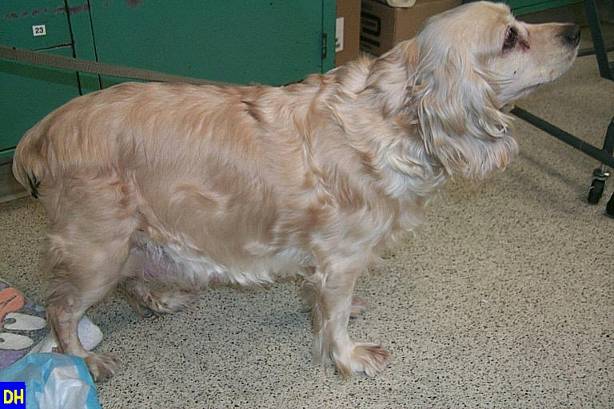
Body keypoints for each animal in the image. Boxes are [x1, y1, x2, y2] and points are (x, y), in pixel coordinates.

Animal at [12, 2, 579, 381]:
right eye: (510, 38)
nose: (575, 30)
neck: (392, 115)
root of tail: (44, 130)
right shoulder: (342, 256)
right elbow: (335, 319)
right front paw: (349, 356)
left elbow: (325, 303)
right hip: (98, 248)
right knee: (63, 309)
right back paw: (83, 360)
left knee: (131, 280)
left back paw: (160, 298)